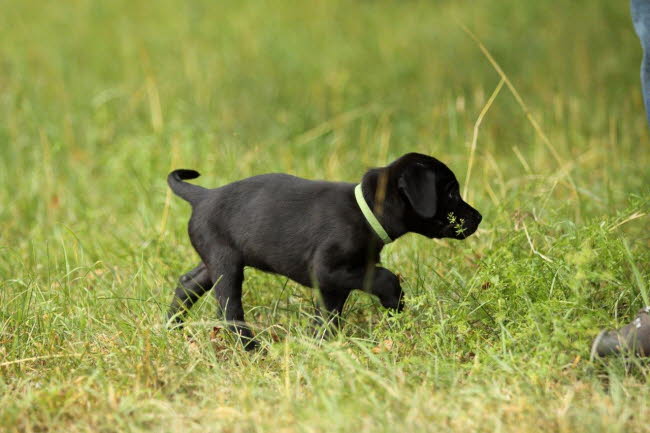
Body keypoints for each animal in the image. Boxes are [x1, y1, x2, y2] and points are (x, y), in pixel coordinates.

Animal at [166, 152, 480, 348]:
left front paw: (319, 346)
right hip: (226, 265)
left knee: (187, 284)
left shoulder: (335, 285)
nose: (479, 217)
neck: (365, 209)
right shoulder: (327, 271)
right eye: (451, 192)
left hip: (214, 262)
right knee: (229, 311)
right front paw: (395, 301)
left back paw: (171, 329)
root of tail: (203, 196)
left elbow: (327, 318)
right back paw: (253, 349)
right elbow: (384, 277)